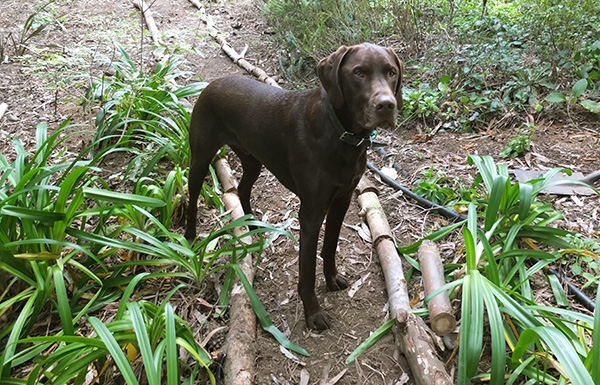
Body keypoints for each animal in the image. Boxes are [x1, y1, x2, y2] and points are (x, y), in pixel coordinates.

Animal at [186, 42, 404, 330]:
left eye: (391, 72)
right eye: (359, 73)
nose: (387, 105)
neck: (341, 135)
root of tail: (211, 84)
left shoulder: (342, 200)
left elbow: (330, 246)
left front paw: (332, 279)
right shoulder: (311, 213)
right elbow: (306, 270)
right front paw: (313, 313)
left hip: (253, 161)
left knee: (242, 189)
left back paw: (253, 225)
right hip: (200, 159)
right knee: (192, 196)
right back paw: (189, 237)